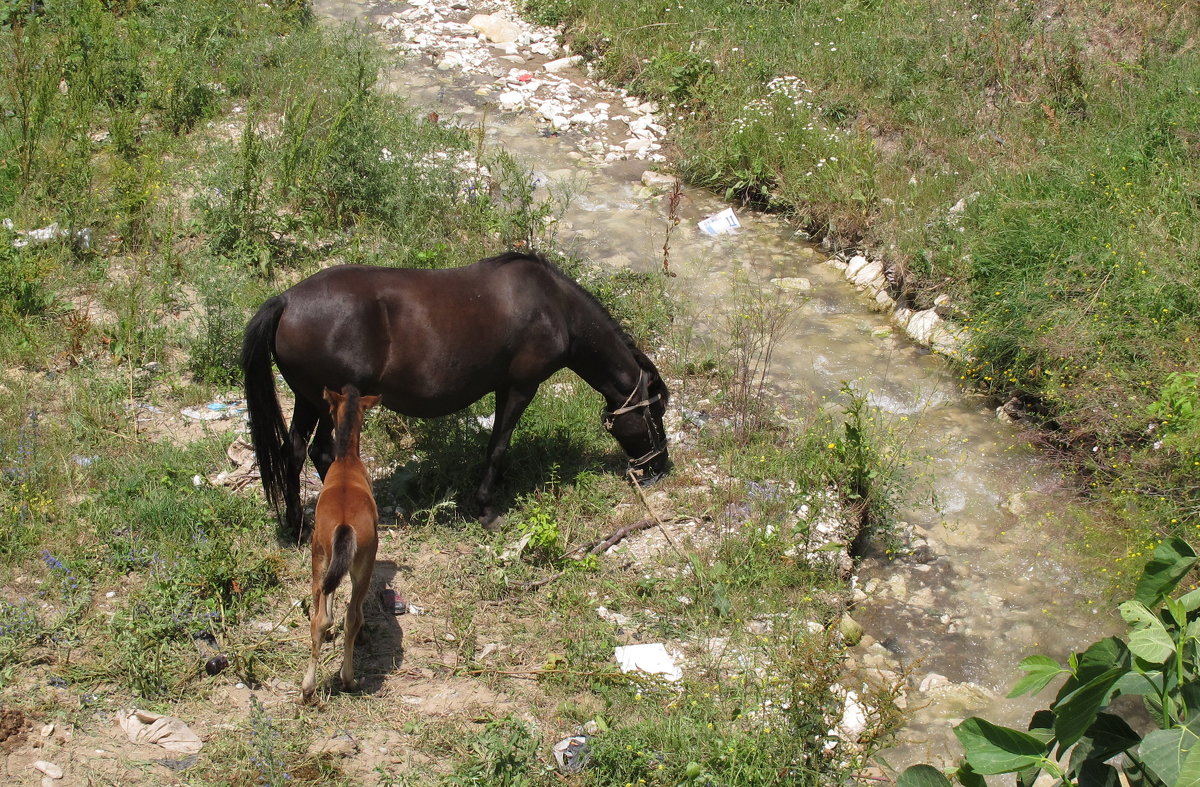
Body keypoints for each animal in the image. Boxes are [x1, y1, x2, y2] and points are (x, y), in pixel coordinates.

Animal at [238, 251, 672, 535]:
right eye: (657, 412)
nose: (659, 467)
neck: (555, 307)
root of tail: (287, 300)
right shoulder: (519, 387)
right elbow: (498, 446)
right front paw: (485, 508)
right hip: (333, 402)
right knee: (320, 452)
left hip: (308, 400)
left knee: (296, 452)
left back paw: (298, 524)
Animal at [300, 383, 379, 695]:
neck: (347, 460)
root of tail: (345, 525)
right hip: (360, 564)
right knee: (349, 616)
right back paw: (347, 678)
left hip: (320, 555)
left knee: (320, 619)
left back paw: (309, 686)